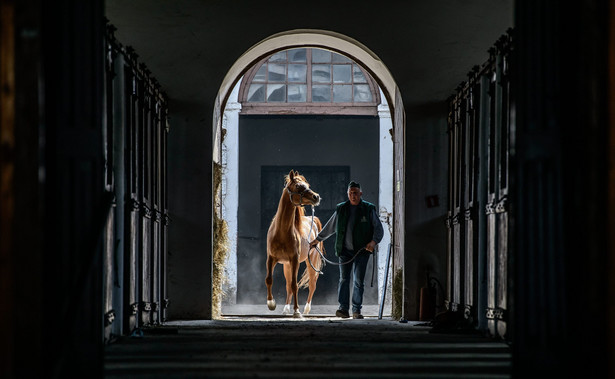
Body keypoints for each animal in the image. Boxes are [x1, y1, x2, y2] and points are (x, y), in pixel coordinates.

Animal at [266, 169, 328, 318]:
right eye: (299, 186)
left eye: (307, 185)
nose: (316, 197)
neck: (282, 232)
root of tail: (313, 220)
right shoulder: (271, 259)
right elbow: (269, 279)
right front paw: (271, 304)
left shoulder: (294, 261)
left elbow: (295, 285)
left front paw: (297, 311)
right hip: (287, 266)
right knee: (288, 286)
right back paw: (285, 309)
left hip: (310, 263)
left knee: (312, 284)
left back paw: (306, 309)